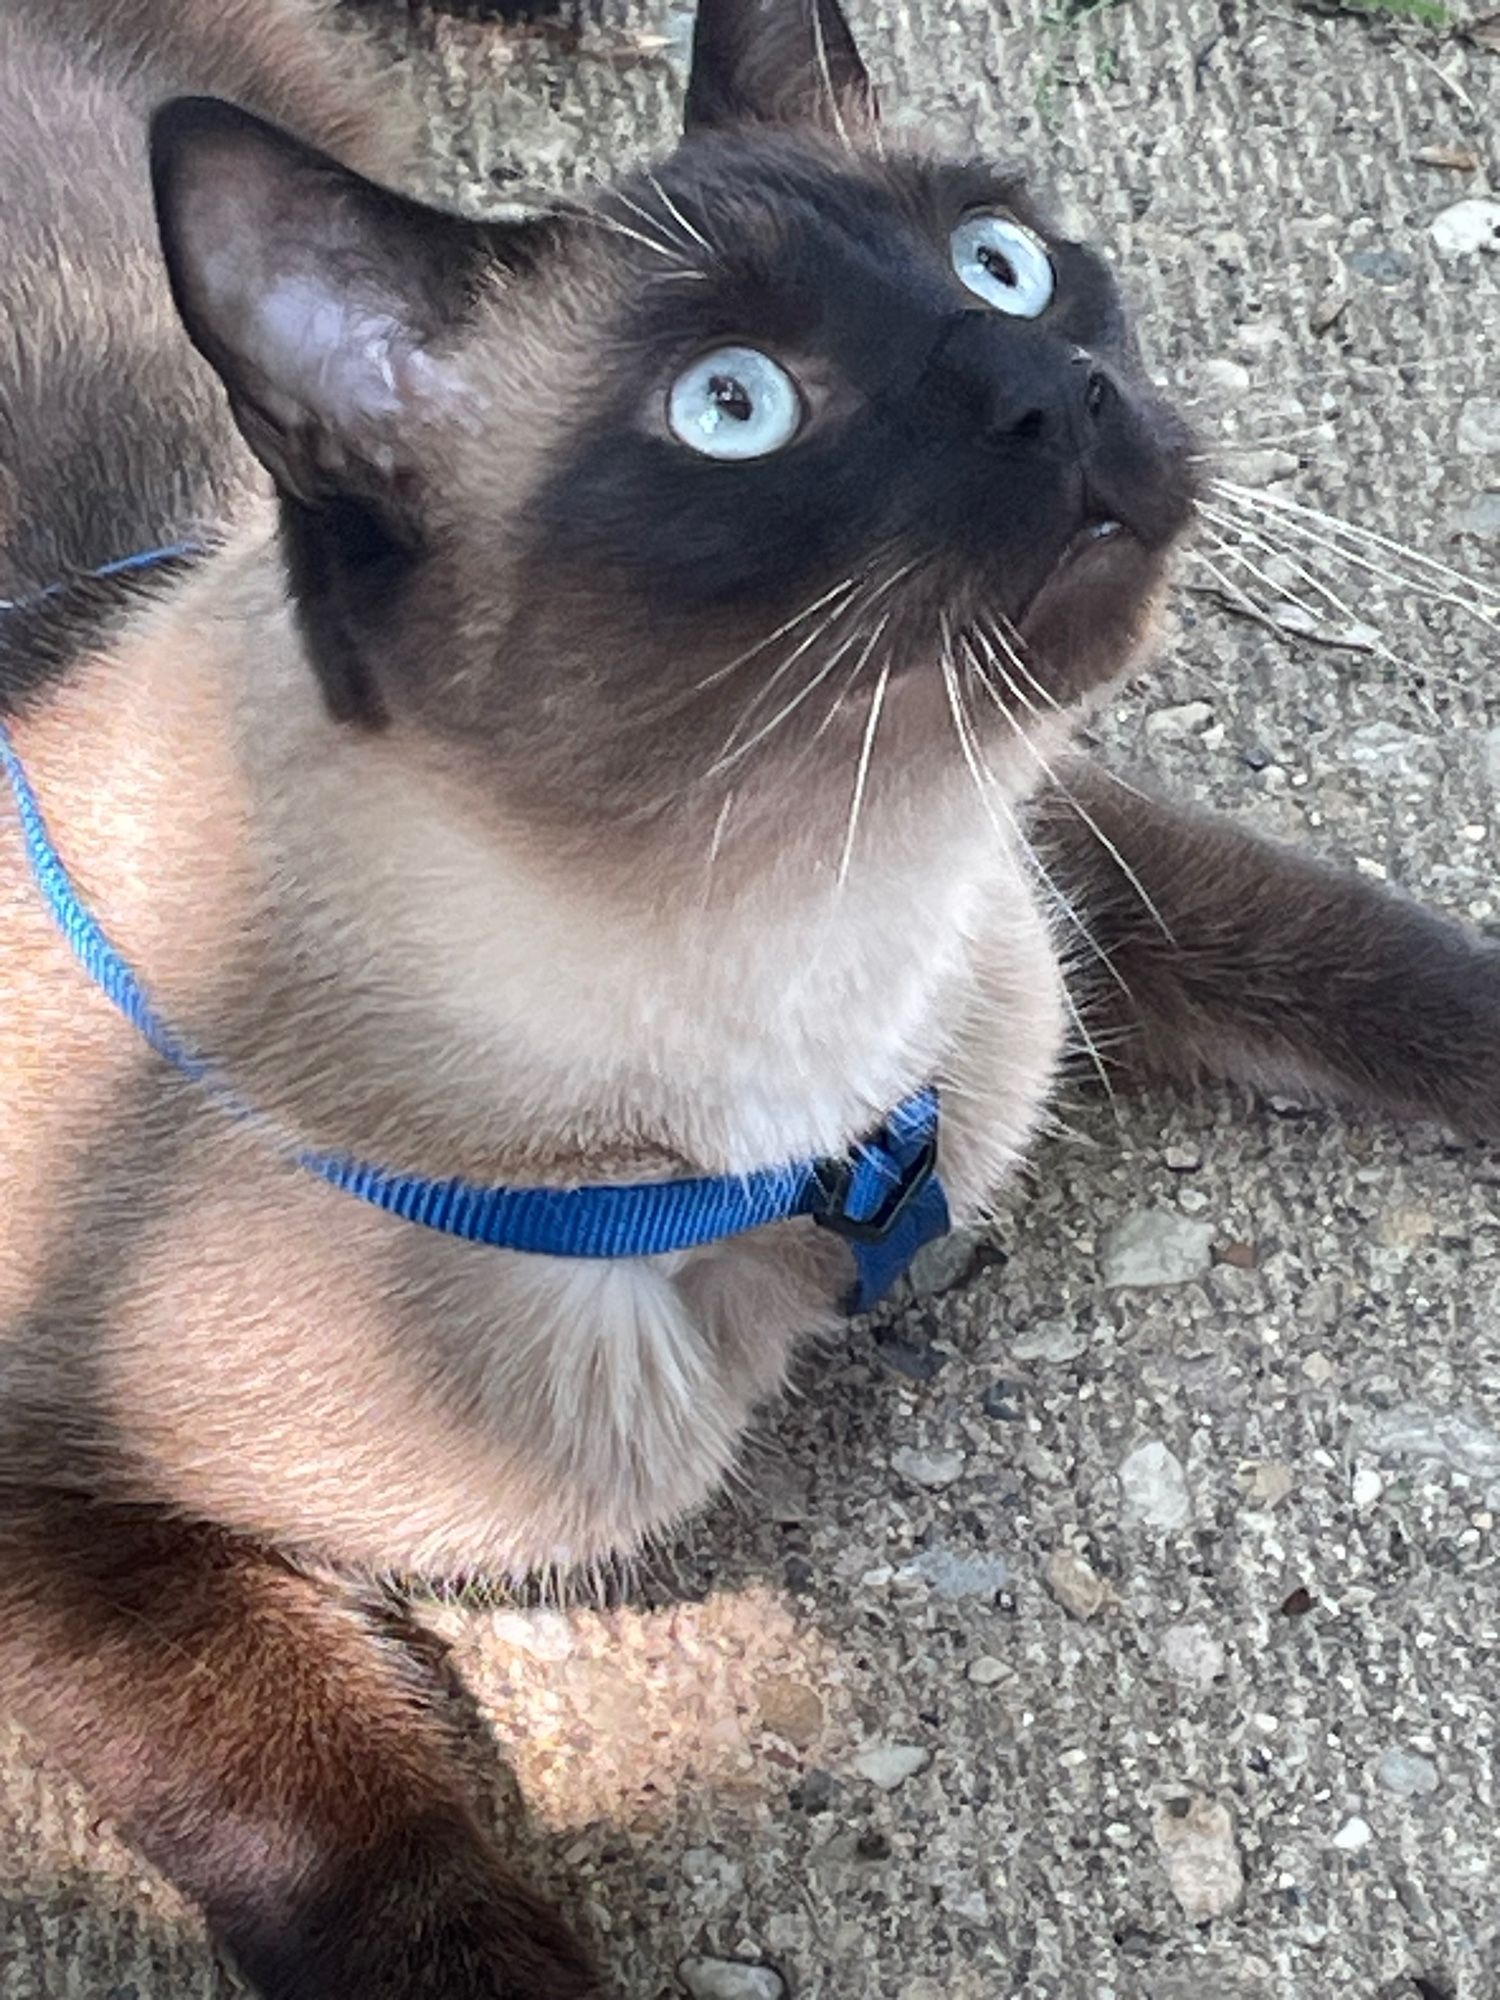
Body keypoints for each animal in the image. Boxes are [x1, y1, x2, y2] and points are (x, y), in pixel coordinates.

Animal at [2, 3, 1500, 2000]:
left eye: (1000, 263)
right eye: (734, 407)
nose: (1052, 390)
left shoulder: (1043, 859)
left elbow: (1369, 959)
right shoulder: (56, 1510)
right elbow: (361, 1856)